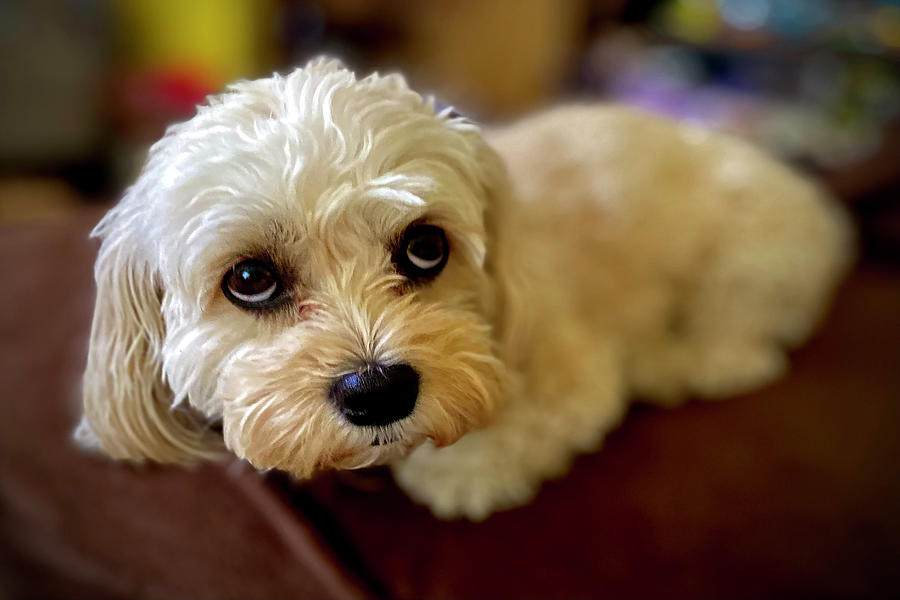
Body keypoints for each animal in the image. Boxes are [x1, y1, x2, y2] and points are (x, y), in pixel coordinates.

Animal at [75, 57, 852, 520]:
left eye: (426, 247)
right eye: (249, 279)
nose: (379, 391)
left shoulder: (572, 373)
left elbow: (502, 443)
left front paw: (456, 475)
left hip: (751, 263)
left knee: (743, 347)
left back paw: (677, 361)